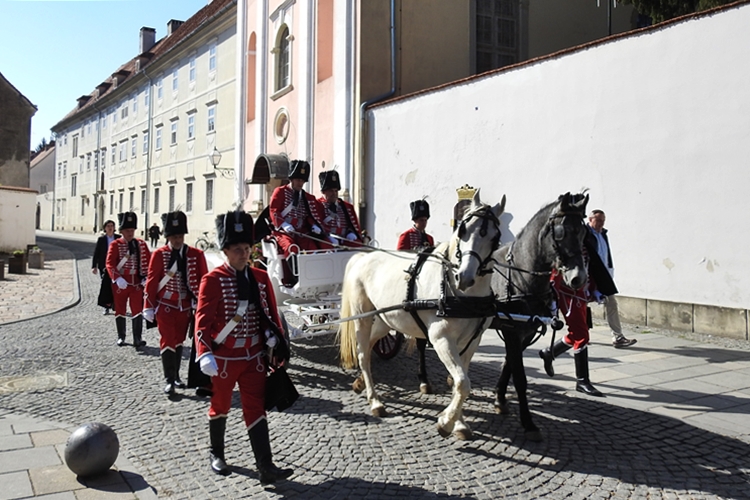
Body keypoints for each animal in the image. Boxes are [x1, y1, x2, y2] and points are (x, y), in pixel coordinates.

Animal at [340, 191, 506, 442]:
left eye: (495, 238)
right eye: (462, 230)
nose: (464, 278)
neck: (462, 297)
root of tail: (362, 256)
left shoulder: (472, 341)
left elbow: (461, 381)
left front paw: (459, 423)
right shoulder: (441, 339)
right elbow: (462, 382)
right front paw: (446, 422)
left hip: (384, 321)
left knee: (368, 349)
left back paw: (361, 384)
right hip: (363, 317)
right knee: (362, 354)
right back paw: (375, 400)